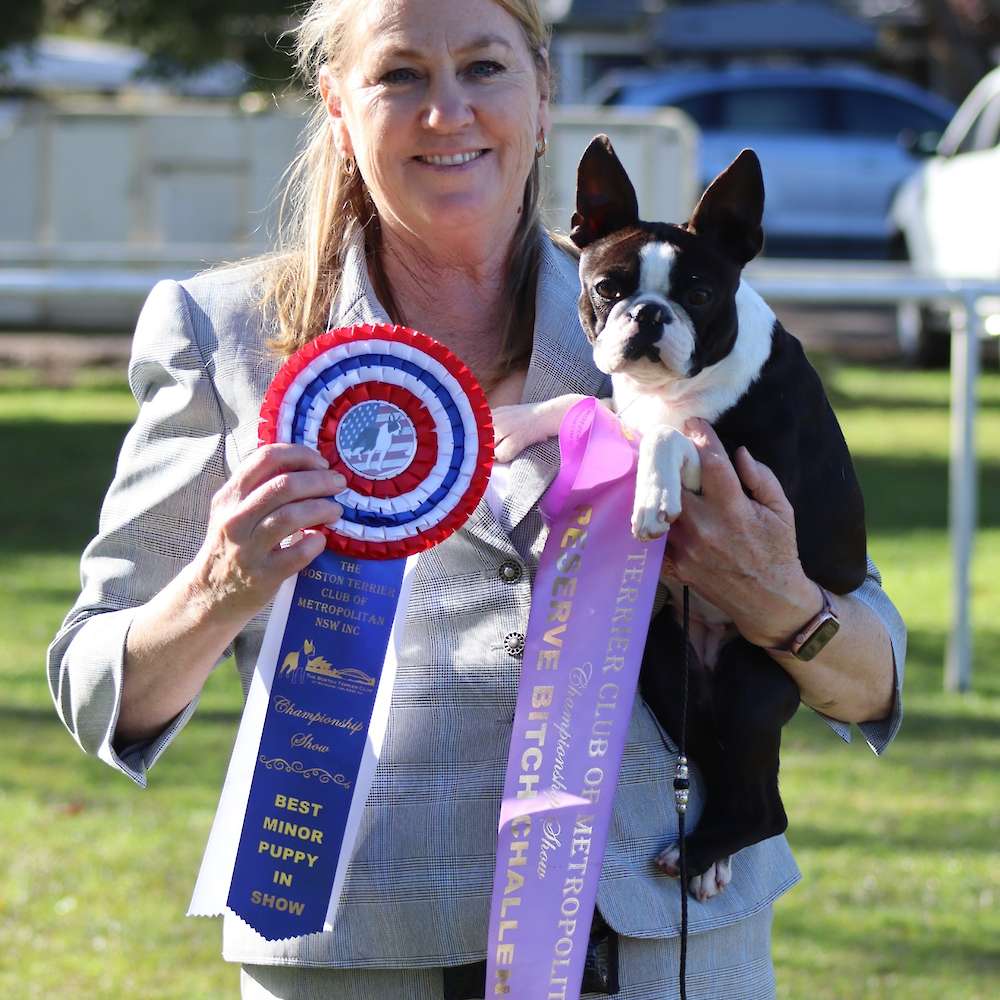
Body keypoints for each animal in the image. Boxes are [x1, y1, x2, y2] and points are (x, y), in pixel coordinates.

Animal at [492, 137, 868, 904]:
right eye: (608, 288)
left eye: (698, 295)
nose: (649, 315)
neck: (681, 385)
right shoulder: (631, 406)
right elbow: (596, 406)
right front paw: (521, 419)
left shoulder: (756, 473)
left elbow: (674, 435)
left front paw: (652, 496)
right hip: (666, 670)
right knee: (720, 770)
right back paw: (707, 853)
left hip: (755, 681)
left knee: (766, 807)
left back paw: (699, 855)